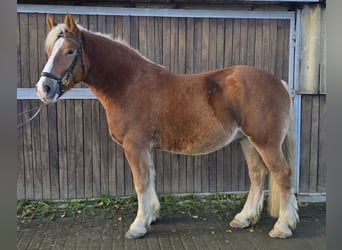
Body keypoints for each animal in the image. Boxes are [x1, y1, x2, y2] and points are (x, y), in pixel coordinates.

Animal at [36, 13, 298, 238]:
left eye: (70, 51)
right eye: (49, 51)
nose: (43, 89)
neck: (128, 84)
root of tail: (280, 83)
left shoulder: (135, 146)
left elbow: (140, 182)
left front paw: (138, 226)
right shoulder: (145, 148)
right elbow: (150, 178)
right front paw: (151, 216)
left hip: (266, 143)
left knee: (282, 175)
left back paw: (282, 227)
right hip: (247, 141)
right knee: (257, 175)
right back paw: (244, 218)